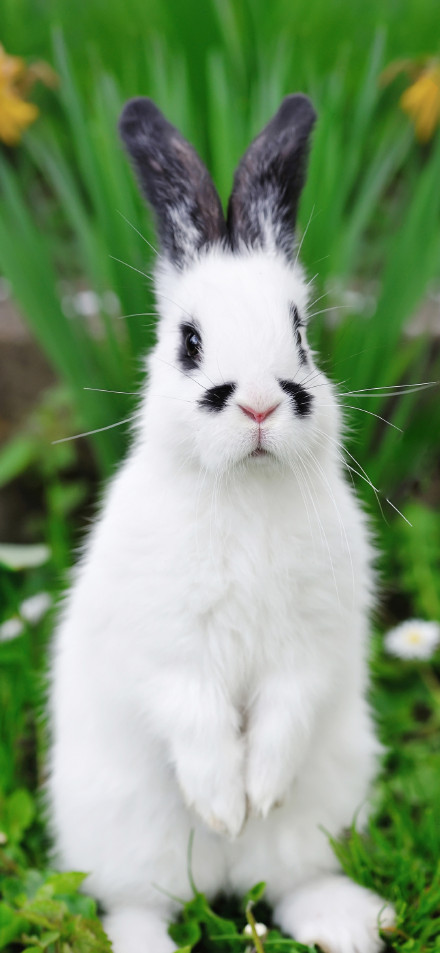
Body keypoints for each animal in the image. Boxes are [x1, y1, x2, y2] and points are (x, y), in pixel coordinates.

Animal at [48, 94, 395, 953]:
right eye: (190, 341)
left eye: (300, 332)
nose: (261, 405)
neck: (247, 490)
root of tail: (231, 878)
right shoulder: (169, 647)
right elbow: (192, 712)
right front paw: (222, 802)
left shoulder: (311, 643)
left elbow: (286, 708)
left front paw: (255, 793)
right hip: (125, 834)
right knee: (140, 905)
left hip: (325, 804)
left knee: (293, 882)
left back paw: (353, 918)